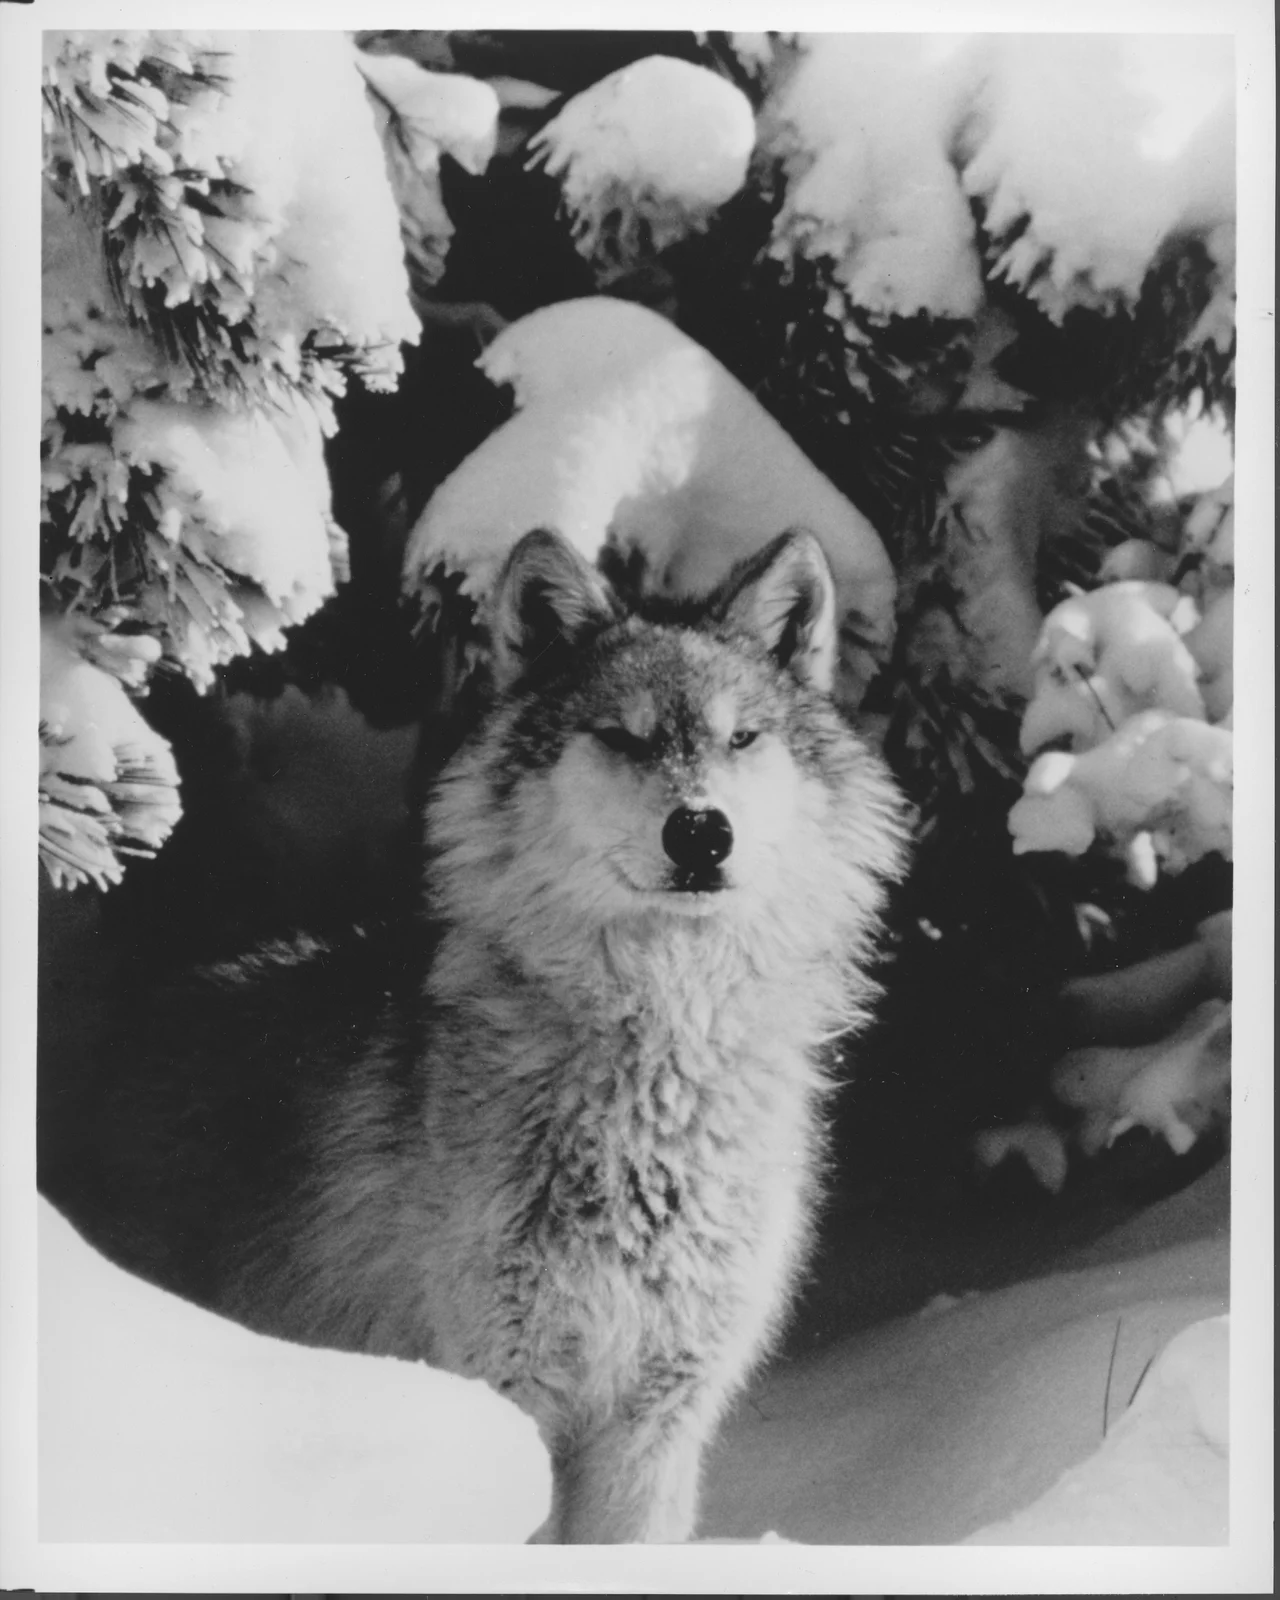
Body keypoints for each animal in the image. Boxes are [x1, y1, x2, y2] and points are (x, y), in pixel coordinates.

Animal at [42, 527, 907, 1543]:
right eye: (622, 736)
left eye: (743, 738)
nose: (701, 831)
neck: (655, 1051)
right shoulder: (505, 1392)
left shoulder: (656, 1420)